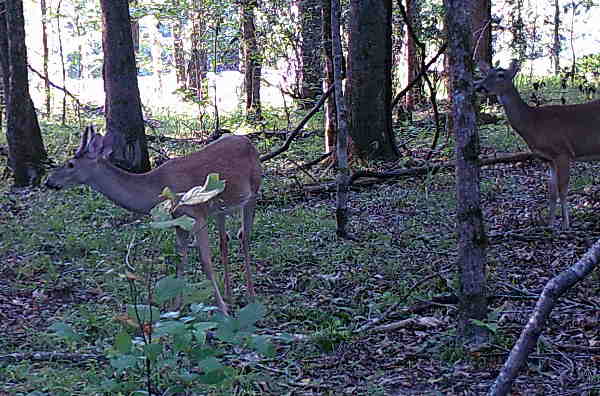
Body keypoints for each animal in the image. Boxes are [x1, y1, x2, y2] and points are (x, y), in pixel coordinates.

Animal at [45, 127, 262, 316]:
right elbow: (181, 260)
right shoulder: (179, 220)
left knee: (245, 236)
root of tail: (248, 141)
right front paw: (175, 308)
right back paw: (230, 295)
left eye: (70, 164)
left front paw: (222, 311)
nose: (48, 182)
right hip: (220, 209)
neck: (157, 187)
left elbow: (205, 262)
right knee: (225, 241)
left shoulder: (197, 215)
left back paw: (251, 296)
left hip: (254, 190)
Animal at [476, 58, 600, 229]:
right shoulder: (549, 159)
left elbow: (563, 190)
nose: (479, 87)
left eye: (501, 75)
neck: (534, 123)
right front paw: (550, 225)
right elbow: (552, 192)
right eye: (485, 74)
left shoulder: (563, 152)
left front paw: (566, 225)